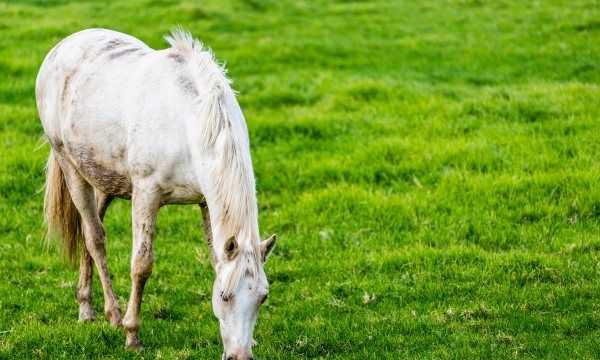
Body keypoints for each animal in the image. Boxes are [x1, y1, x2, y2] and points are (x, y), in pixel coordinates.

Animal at [34, 28, 274, 360]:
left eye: (263, 297)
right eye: (224, 296)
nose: (240, 356)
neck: (190, 122)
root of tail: (64, 44)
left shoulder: (205, 202)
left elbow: (214, 259)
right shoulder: (146, 193)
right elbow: (142, 265)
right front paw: (132, 334)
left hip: (102, 178)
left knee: (88, 230)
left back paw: (87, 304)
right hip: (69, 164)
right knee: (95, 237)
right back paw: (107, 314)